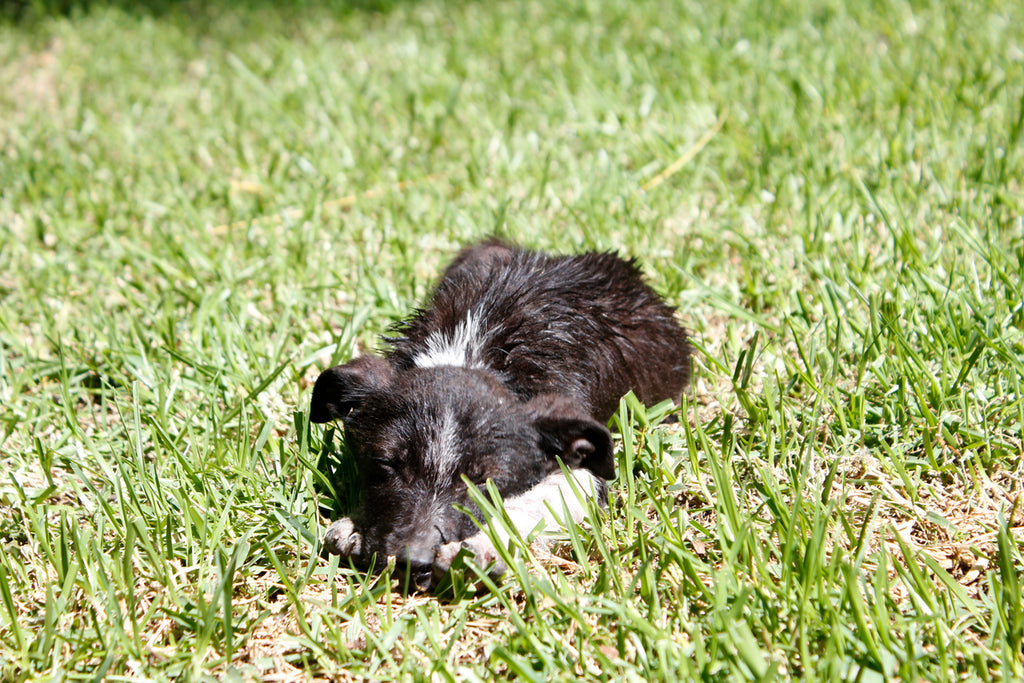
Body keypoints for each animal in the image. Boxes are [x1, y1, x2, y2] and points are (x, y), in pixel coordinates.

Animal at [307, 239, 692, 589]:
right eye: (386, 464)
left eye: (485, 481)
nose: (412, 563)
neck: (472, 347)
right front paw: (355, 523)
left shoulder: (585, 462)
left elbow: (536, 499)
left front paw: (483, 545)